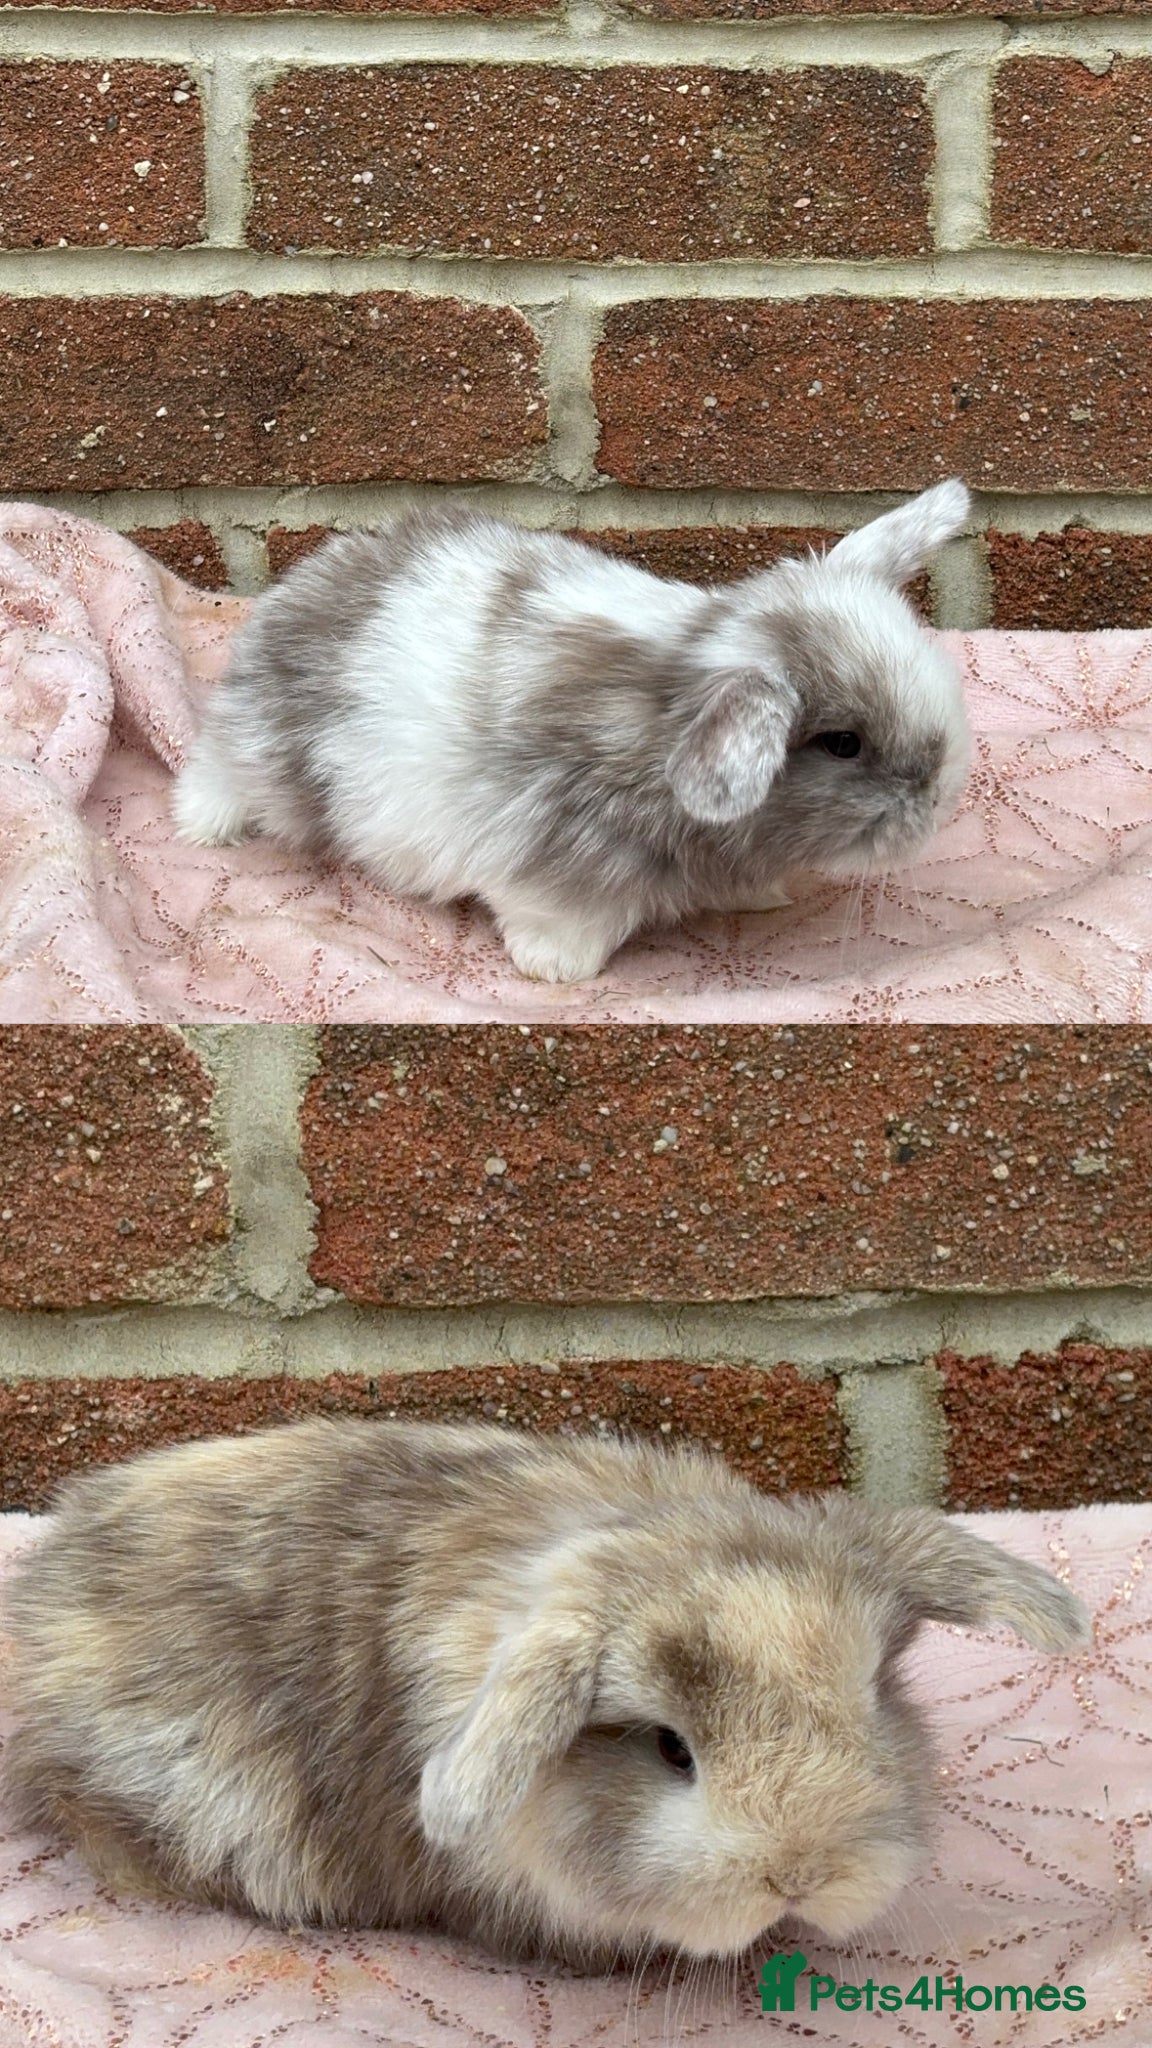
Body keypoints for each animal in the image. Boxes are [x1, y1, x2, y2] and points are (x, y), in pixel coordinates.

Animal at [172, 480, 973, 983]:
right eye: (843, 743)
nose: (940, 798)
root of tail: (308, 578)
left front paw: (765, 897)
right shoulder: (548, 861)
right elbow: (556, 919)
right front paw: (554, 969)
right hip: (264, 744)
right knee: (220, 768)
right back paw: (204, 828)